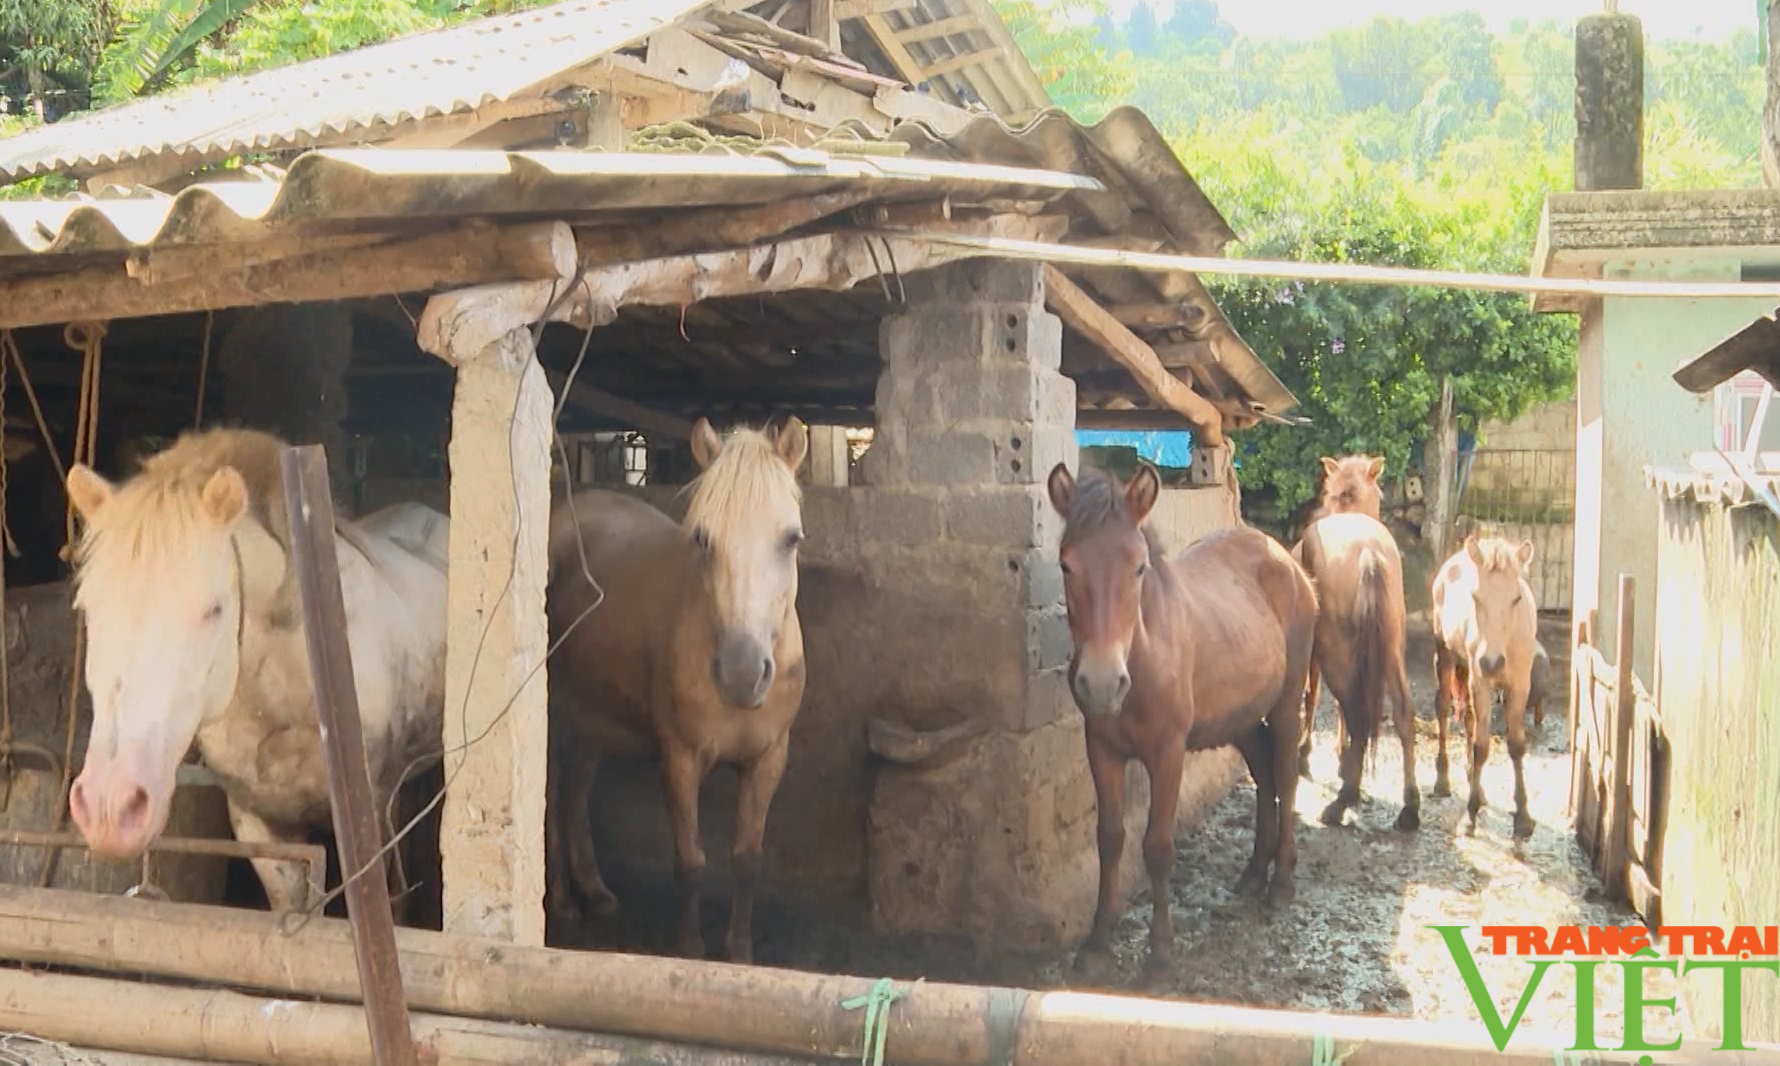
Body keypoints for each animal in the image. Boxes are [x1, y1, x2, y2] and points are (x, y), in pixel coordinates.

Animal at [544, 416, 811, 968]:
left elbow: (747, 861)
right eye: (703, 539)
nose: (742, 672)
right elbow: (690, 862)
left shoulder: (768, 758)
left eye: (791, 539)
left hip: (593, 719)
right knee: (552, 801)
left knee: (576, 793)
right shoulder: (680, 759)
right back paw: (565, 906)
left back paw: (597, 892)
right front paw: (690, 950)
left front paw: (740, 952)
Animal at [1039, 462, 1324, 982]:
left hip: (1286, 702)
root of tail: (1287, 559)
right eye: (1067, 565)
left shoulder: (1167, 753)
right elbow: (1110, 839)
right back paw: (1254, 872)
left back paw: (1281, 883)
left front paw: (1160, 954)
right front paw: (1097, 943)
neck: (1144, 652)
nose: (1103, 683)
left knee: (1287, 776)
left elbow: (1157, 847)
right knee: (1264, 775)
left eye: (1139, 566)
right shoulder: (1101, 750)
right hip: (1242, 718)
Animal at [1295, 453, 1416, 829]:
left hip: (1337, 651)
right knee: (1402, 712)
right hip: (1390, 649)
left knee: (1357, 711)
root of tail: (1368, 552)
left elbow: (1311, 696)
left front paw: (1306, 754)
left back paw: (1342, 800)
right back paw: (1410, 808)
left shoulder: (1312, 652)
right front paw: (1343, 758)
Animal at [1431, 533, 1545, 843]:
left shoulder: (1519, 684)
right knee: (1443, 706)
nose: (1492, 662)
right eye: (1475, 597)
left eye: (1516, 599)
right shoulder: (1480, 681)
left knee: (1469, 717)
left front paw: (1524, 818)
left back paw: (1477, 785)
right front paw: (1469, 817)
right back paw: (1443, 779)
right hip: (1446, 652)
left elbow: (1516, 745)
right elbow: (1481, 746)